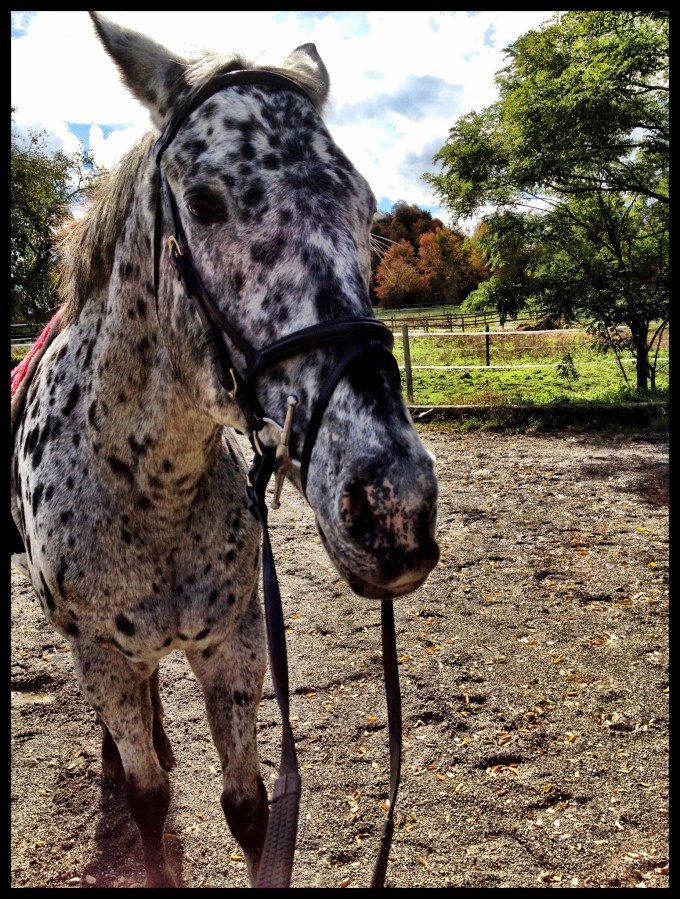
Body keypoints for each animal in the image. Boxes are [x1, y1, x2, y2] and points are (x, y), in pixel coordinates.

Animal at [10, 12, 439, 888]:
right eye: (204, 202)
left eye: (365, 205)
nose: (394, 504)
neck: (146, 486)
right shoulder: (102, 655)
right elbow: (150, 799)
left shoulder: (234, 646)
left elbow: (249, 808)